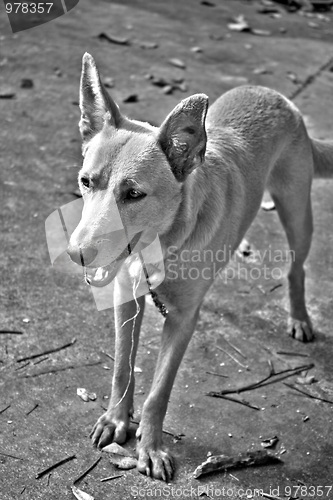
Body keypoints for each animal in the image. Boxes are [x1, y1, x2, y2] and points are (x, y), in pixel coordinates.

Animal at [65, 53, 332, 480]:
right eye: (86, 182)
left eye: (134, 194)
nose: (78, 254)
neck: (161, 243)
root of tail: (277, 97)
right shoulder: (127, 300)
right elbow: (123, 367)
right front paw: (116, 420)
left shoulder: (182, 320)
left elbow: (159, 392)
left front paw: (150, 447)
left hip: (297, 211)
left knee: (297, 267)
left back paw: (300, 316)